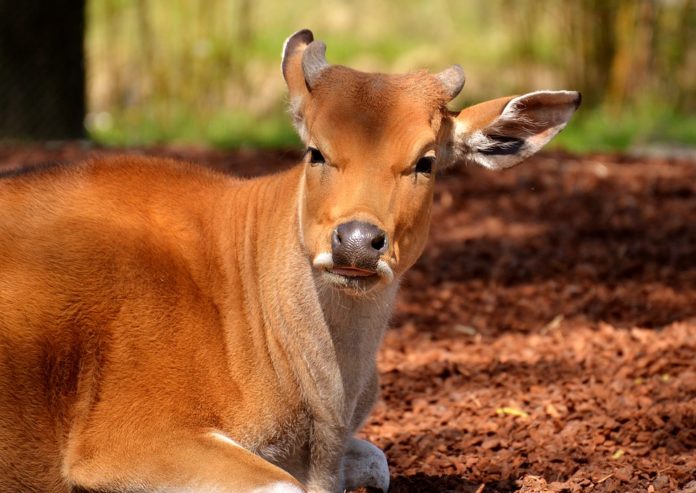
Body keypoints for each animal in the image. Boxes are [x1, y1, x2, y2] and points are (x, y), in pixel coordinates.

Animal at [0, 28, 580, 490]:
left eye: (426, 161)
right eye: (315, 152)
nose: (356, 240)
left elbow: (378, 461)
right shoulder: (124, 437)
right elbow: (285, 484)